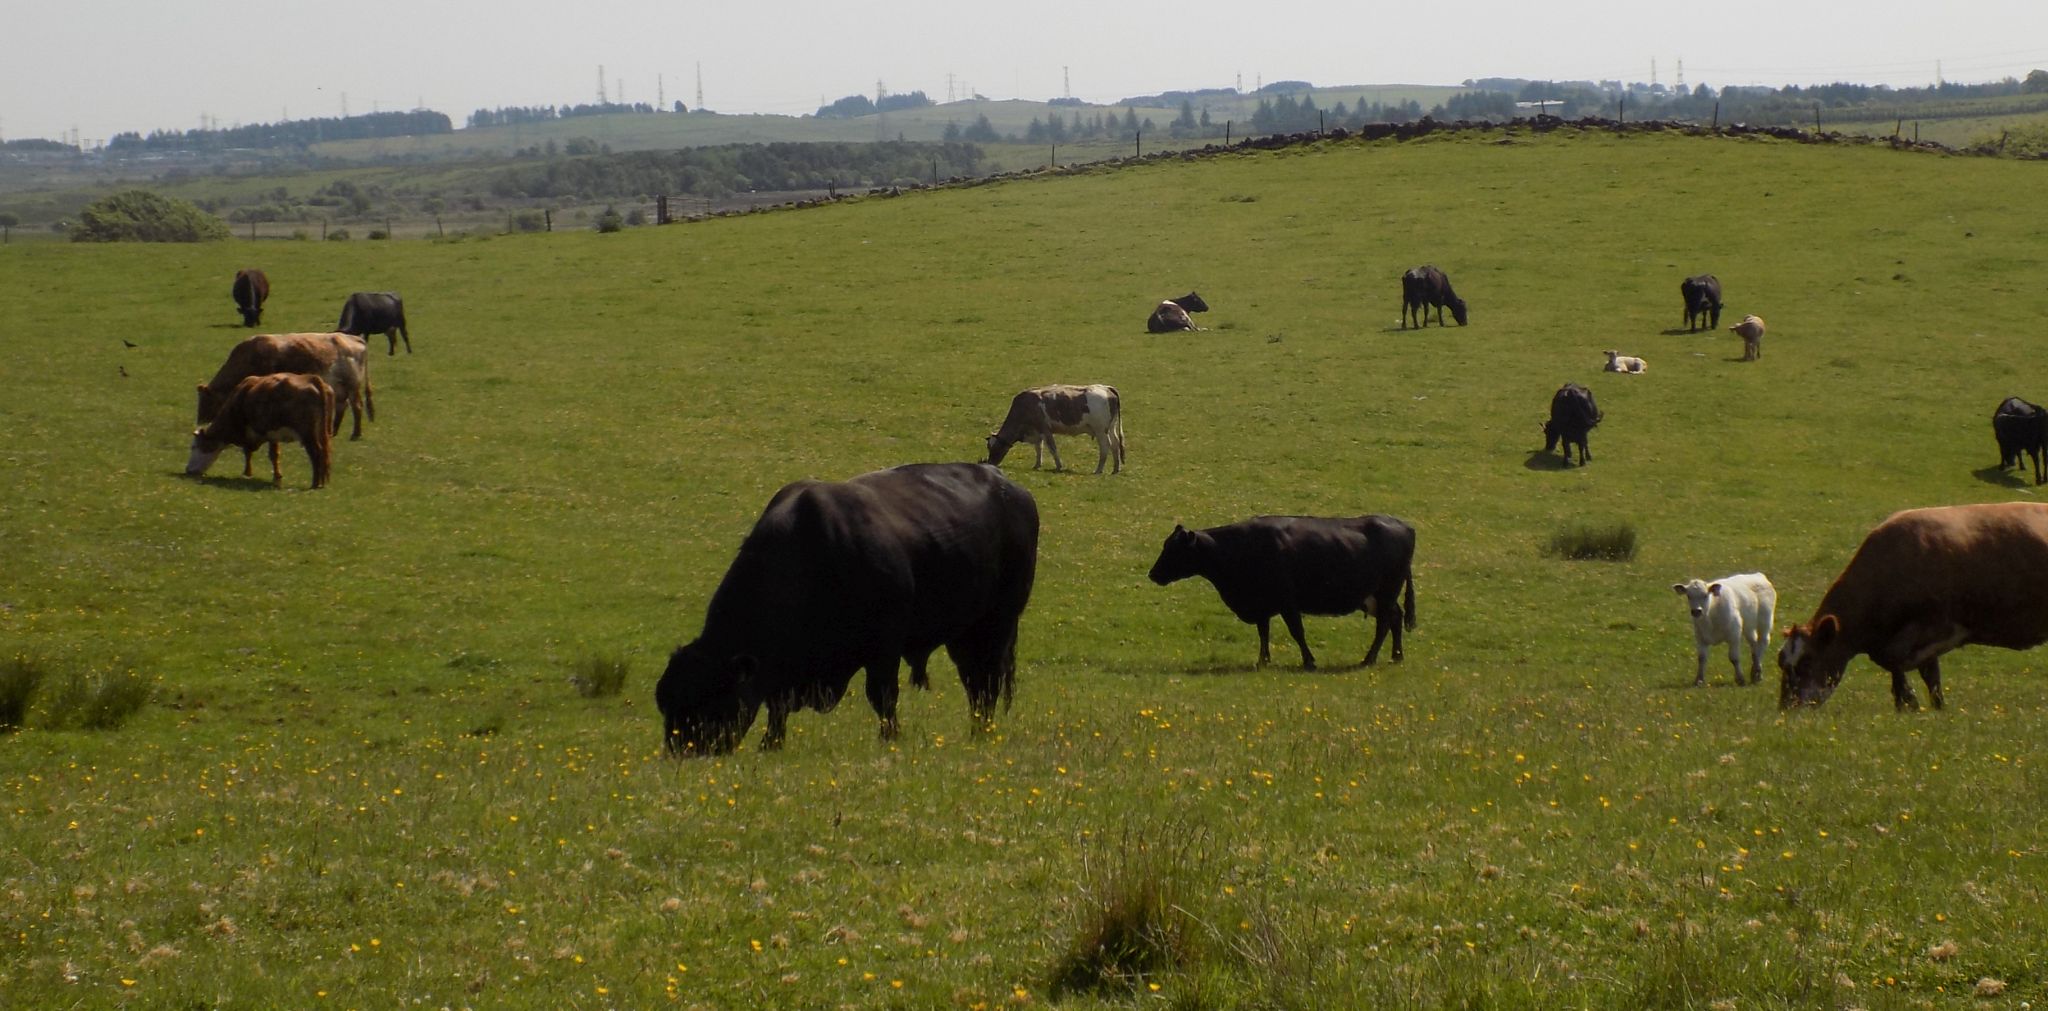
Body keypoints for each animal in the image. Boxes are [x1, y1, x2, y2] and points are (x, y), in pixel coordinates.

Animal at [186, 372, 333, 487]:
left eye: (194, 447)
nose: (188, 471)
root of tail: (311, 378)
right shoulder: (273, 434)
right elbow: (273, 454)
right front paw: (276, 478)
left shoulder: (249, 432)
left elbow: (248, 451)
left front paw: (247, 473)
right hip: (323, 432)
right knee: (324, 453)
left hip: (308, 434)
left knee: (316, 452)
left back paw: (315, 484)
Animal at [655, 462, 1040, 753]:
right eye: (665, 703)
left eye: (711, 700)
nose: (682, 751)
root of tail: (1013, 489)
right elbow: (777, 706)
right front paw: (770, 744)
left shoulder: (884, 648)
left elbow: (882, 696)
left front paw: (890, 738)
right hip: (964, 634)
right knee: (975, 682)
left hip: (997, 625)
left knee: (986, 683)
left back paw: (981, 733)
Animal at [983, 384, 1130, 476]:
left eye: (993, 448)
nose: (990, 463)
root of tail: (1105, 388)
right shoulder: (1036, 431)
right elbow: (1039, 448)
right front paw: (1037, 465)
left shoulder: (1045, 429)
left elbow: (1052, 448)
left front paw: (1059, 466)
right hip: (1110, 428)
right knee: (1115, 445)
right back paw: (1116, 469)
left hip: (1100, 431)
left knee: (1105, 447)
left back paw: (1098, 470)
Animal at [1146, 513, 1417, 671]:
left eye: (1174, 549)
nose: (1153, 574)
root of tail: (1405, 526)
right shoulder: (1261, 604)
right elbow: (1263, 632)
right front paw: (1263, 660)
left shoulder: (1288, 602)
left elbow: (1297, 631)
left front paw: (1309, 661)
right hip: (1379, 597)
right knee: (1396, 617)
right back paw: (1396, 656)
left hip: (1386, 592)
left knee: (1384, 624)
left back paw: (1368, 659)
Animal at [1777, 503, 2048, 712]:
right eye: (1782, 663)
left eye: (1807, 662)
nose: (1786, 709)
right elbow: (1930, 676)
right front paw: (1930, 707)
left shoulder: (1939, 626)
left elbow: (1893, 658)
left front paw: (1908, 700)